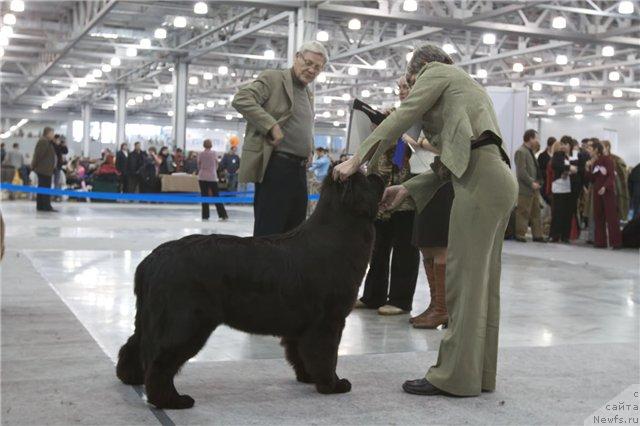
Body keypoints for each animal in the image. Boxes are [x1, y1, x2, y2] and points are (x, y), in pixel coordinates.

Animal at [117, 172, 382, 410]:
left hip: (151, 318)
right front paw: (333, 385)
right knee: (161, 361)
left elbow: (302, 354)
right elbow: (326, 355)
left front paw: (309, 377)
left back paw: (130, 378)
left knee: (134, 344)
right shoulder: (328, 321)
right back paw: (172, 401)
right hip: (185, 322)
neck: (337, 233)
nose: (380, 175)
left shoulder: (302, 326)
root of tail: (151, 260)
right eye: (366, 178)